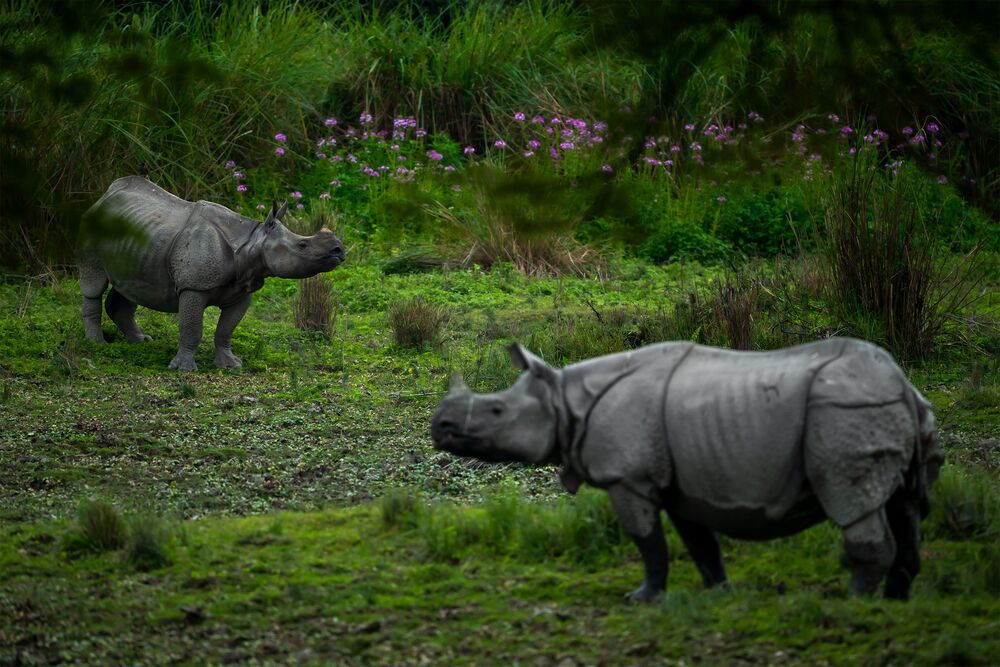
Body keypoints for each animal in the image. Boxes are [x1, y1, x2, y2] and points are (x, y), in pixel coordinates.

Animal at [78, 176, 345, 370]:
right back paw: (97, 343)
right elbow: (192, 328)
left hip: (139, 242)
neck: (251, 242)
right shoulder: (193, 287)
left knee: (129, 287)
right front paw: (183, 369)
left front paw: (230, 364)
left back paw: (140, 341)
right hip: (93, 227)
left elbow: (226, 329)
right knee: (94, 284)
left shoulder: (242, 289)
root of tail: (105, 195)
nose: (339, 250)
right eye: (303, 245)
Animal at [431, 338, 942, 602]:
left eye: (496, 410)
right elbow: (700, 543)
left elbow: (647, 542)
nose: (439, 426)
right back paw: (894, 603)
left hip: (843, 412)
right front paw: (718, 594)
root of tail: (902, 384)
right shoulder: (684, 482)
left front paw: (642, 600)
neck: (564, 400)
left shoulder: (628, 479)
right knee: (904, 506)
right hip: (879, 409)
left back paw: (852, 604)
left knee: (854, 503)